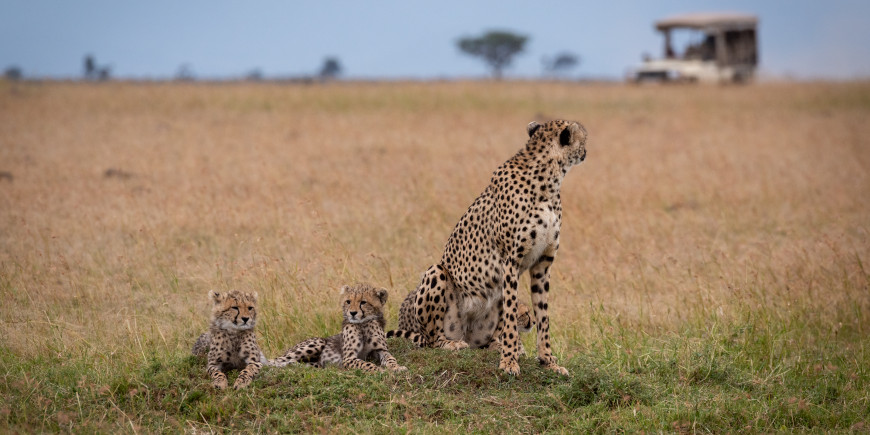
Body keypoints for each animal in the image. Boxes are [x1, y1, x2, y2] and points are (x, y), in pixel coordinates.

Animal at [270, 284, 408, 372]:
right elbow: (366, 364)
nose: (352, 313)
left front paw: (396, 367)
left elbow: (390, 358)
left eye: (363, 302)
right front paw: (380, 370)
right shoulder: (349, 358)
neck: (363, 324)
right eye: (348, 301)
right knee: (275, 361)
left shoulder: (380, 350)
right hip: (317, 342)